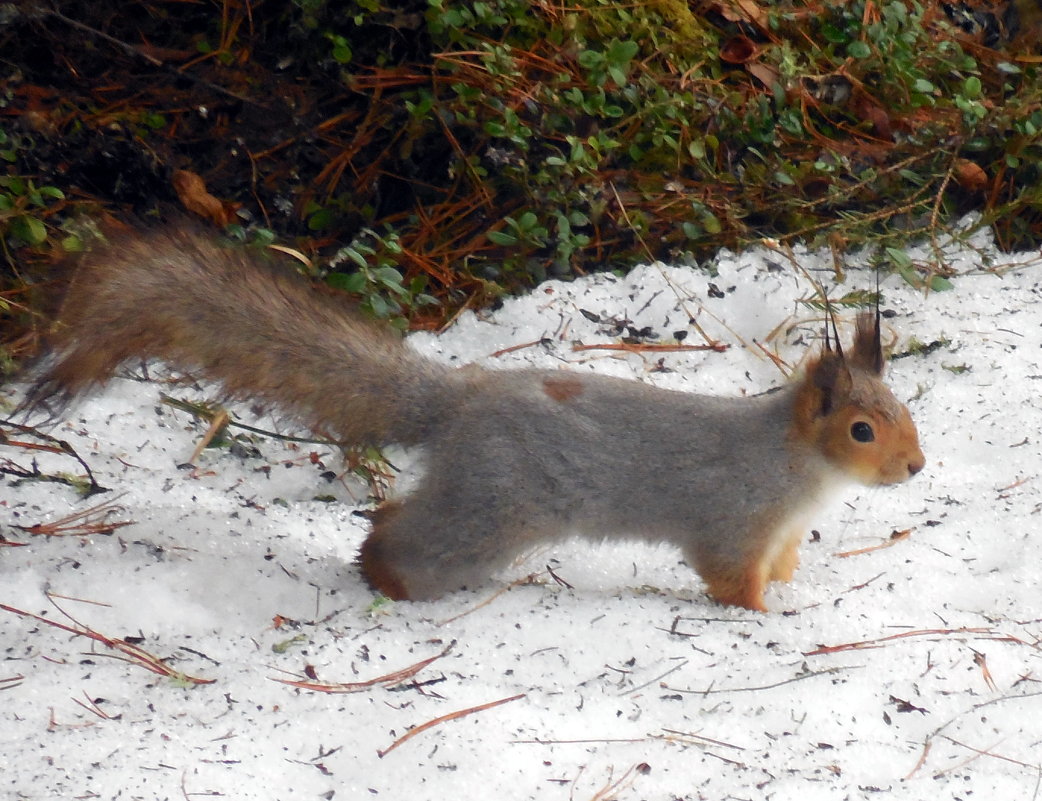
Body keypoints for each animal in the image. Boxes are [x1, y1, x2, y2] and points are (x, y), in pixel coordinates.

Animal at [20, 228, 925, 608]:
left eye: (905, 411)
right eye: (862, 430)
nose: (916, 467)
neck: (797, 466)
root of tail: (459, 404)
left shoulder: (781, 531)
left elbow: (781, 564)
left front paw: (790, 590)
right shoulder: (731, 520)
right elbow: (732, 577)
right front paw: (766, 615)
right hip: (491, 510)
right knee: (399, 539)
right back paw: (384, 581)